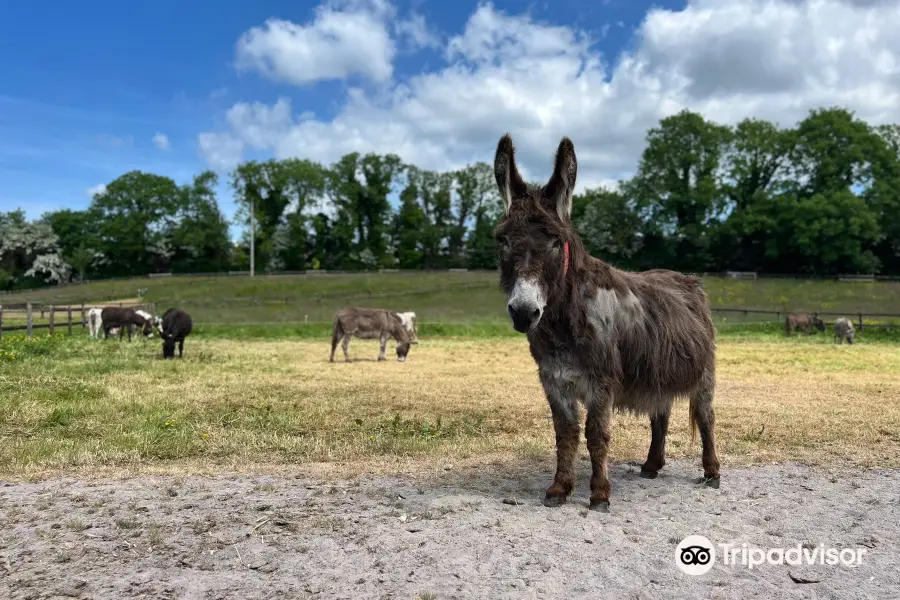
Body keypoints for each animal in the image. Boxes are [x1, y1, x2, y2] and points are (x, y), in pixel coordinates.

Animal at [488, 135, 720, 510]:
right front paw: (559, 488)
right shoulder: (554, 379)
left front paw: (599, 493)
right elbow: (565, 434)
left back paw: (712, 472)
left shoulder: (601, 381)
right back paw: (652, 465)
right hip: (657, 371)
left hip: (704, 373)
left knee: (705, 416)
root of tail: (687, 280)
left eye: (556, 242)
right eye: (503, 240)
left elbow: (596, 435)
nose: (524, 312)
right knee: (660, 414)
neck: (564, 325)